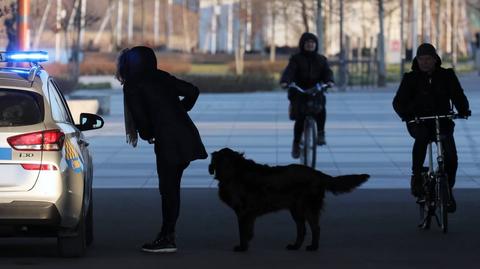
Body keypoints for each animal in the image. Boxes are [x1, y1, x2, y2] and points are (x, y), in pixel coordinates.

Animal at [208, 148, 370, 250]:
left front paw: (242, 247)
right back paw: (295, 246)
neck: (234, 173)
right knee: (302, 230)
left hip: (307, 207)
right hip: (296, 210)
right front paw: (247, 243)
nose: (225, 173)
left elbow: (242, 232)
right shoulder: (249, 214)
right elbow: (248, 232)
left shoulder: (243, 212)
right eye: (219, 161)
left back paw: (313, 247)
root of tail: (317, 173)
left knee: (315, 228)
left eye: (224, 160)